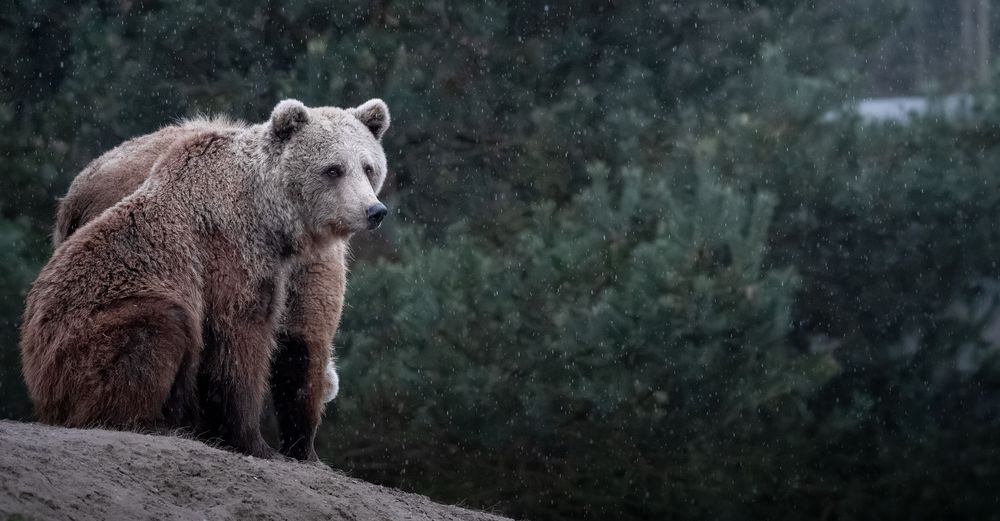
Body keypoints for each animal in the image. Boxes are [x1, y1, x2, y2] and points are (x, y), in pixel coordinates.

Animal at [21, 99, 390, 459]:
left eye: (368, 167)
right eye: (333, 169)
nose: (374, 210)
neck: (269, 216)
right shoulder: (228, 255)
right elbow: (239, 343)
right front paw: (256, 442)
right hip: (84, 336)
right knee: (156, 329)